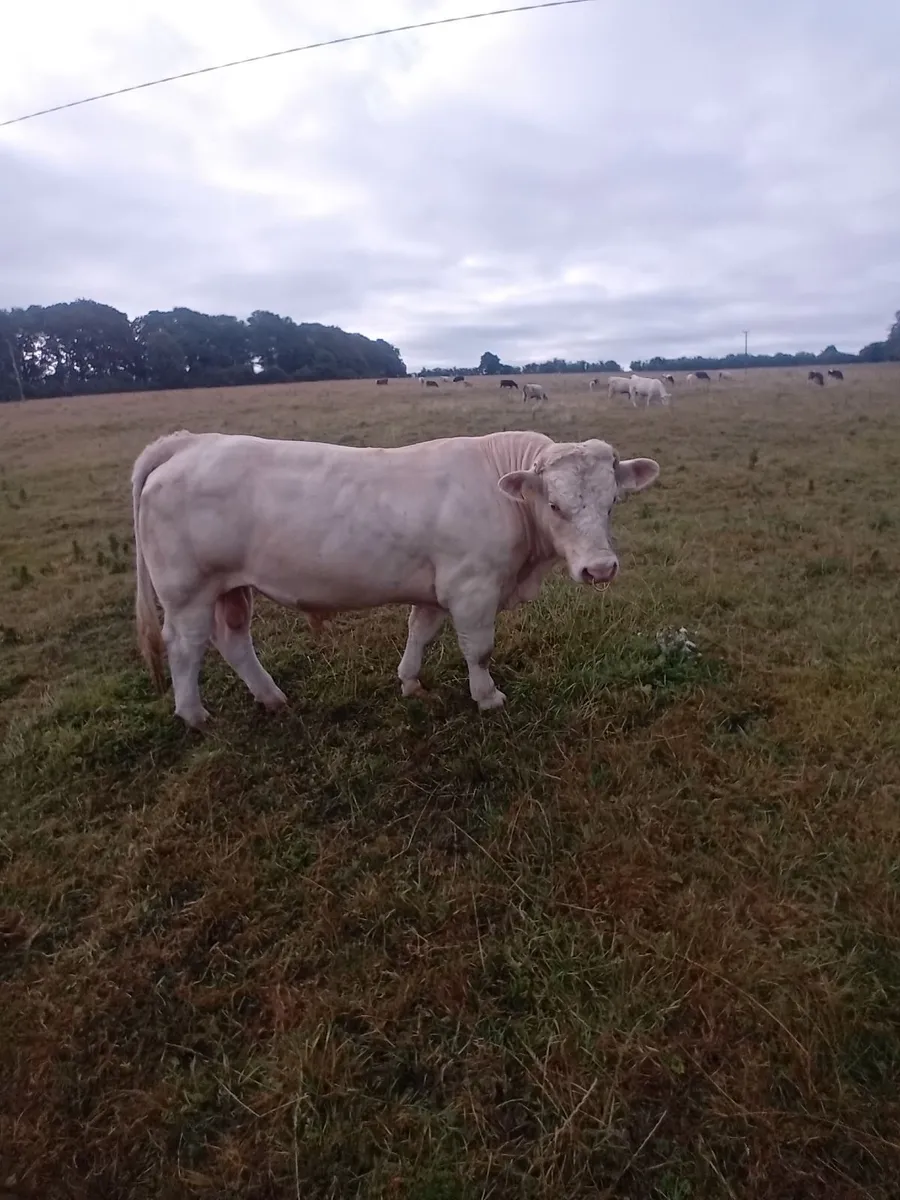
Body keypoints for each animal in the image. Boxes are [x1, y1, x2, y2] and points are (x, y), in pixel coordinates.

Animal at [131, 429, 661, 728]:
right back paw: (195, 716)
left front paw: (409, 682)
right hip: (187, 591)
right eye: (554, 505)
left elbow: (420, 633)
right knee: (186, 646)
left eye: (612, 502)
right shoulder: (472, 588)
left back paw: (272, 698)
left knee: (233, 640)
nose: (600, 568)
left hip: (230, 587)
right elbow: (479, 650)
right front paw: (487, 697)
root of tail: (191, 442)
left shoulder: (435, 588)